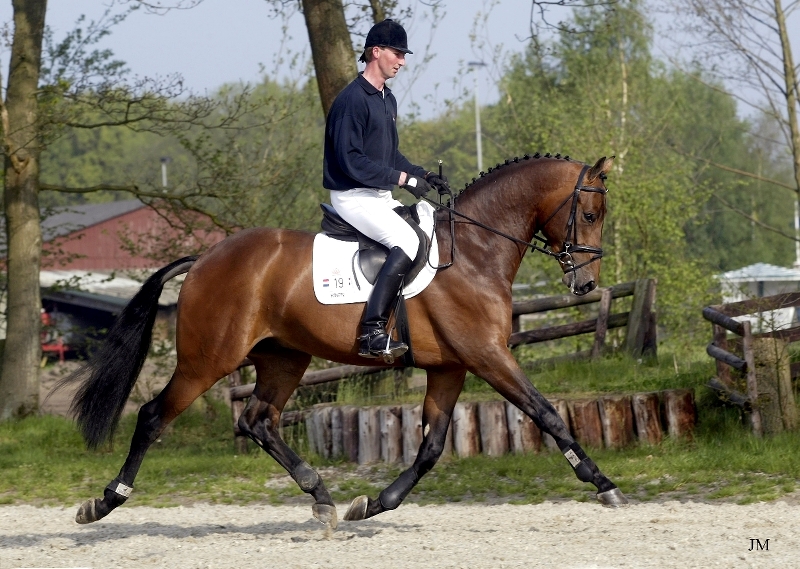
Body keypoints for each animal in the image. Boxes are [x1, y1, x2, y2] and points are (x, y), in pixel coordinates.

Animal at [62, 153, 627, 529]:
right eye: (590, 215)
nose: (586, 284)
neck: (474, 250)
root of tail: (203, 259)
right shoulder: (488, 357)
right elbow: (548, 414)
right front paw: (603, 483)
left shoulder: (451, 367)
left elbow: (431, 448)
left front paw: (374, 503)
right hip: (209, 360)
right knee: (154, 416)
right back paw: (104, 501)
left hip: (284, 358)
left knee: (258, 420)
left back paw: (322, 497)